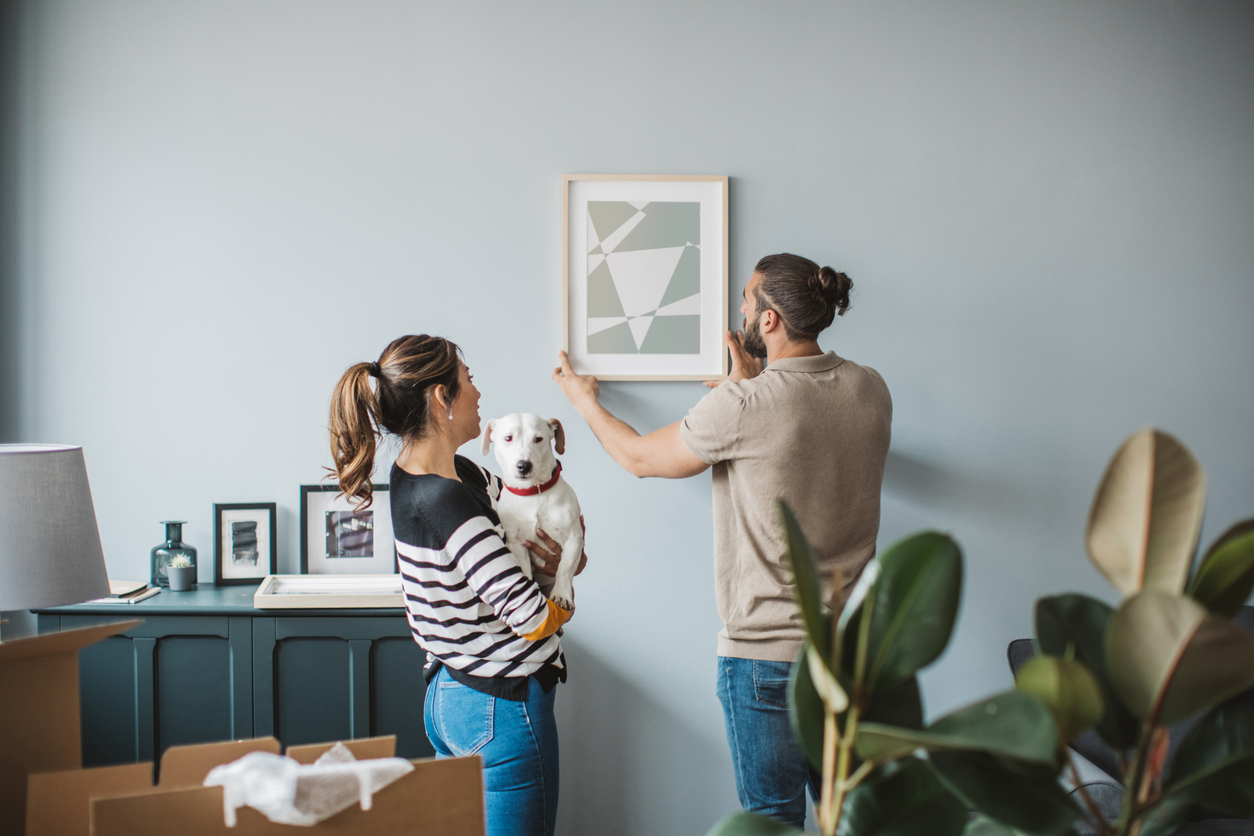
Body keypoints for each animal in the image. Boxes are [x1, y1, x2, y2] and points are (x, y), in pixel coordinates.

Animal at [481, 416, 584, 611]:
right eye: (508, 438)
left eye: (538, 439)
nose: (524, 465)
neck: (532, 494)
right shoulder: (517, 543)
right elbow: (524, 569)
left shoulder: (574, 539)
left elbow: (564, 568)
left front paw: (561, 594)